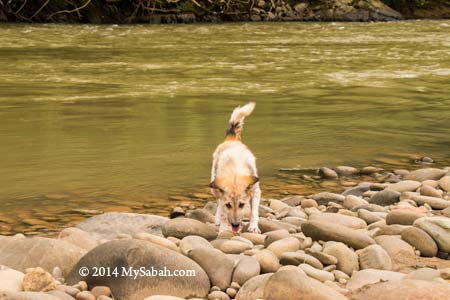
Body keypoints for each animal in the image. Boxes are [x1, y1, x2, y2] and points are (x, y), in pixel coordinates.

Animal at [210, 103, 262, 234]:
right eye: (229, 205)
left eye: (242, 205)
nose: (235, 224)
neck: (234, 173)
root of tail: (231, 140)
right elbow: (223, 212)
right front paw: (223, 228)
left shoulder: (256, 190)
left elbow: (254, 212)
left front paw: (253, 226)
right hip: (214, 185)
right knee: (218, 203)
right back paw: (217, 220)